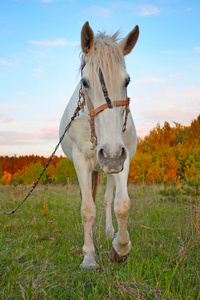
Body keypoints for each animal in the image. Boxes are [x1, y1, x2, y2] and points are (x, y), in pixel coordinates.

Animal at [59, 22, 139, 268]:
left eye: (127, 81)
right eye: (85, 82)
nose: (110, 152)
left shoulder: (122, 159)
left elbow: (121, 204)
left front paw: (120, 247)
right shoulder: (81, 162)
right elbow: (87, 209)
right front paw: (88, 257)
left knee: (106, 199)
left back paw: (109, 232)